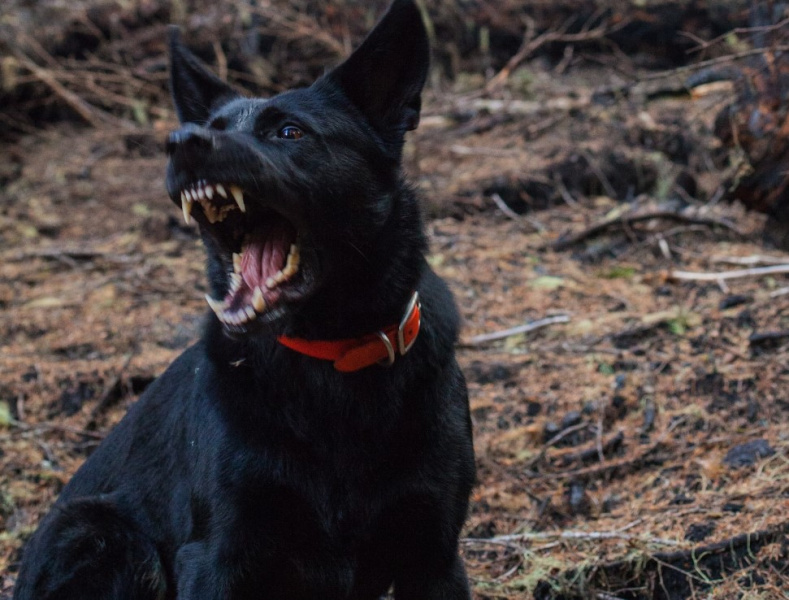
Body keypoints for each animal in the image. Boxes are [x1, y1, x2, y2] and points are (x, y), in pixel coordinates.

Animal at [13, 2, 474, 596]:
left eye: (289, 131)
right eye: (211, 128)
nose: (181, 142)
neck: (332, 358)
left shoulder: (434, 556)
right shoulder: (217, 554)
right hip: (106, 534)